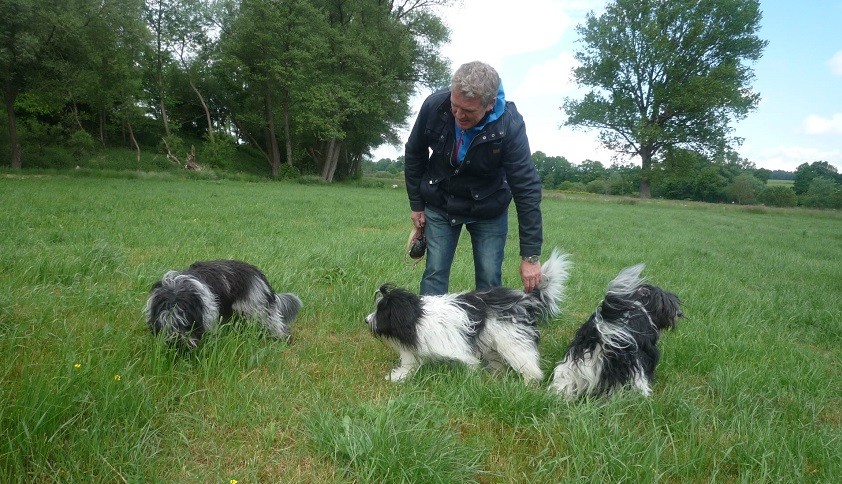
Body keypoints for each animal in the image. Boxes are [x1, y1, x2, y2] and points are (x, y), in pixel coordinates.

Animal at [145, 260, 302, 350]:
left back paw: (283, 340)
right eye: (164, 326)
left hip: (259, 308)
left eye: (186, 324)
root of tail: (257, 273)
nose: (178, 344)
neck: (177, 291)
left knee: (276, 325)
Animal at [362, 250, 572, 382]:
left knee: (527, 362)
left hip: (512, 338)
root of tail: (525, 298)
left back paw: (530, 383)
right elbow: (410, 363)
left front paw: (469, 380)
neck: (416, 316)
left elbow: (469, 363)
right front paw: (398, 377)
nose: (366, 320)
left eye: (381, 310)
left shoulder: (458, 347)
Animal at [544, 264, 684, 398]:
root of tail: (603, 330)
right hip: (632, 368)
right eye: (668, 304)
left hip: (575, 360)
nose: (679, 313)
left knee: (564, 379)